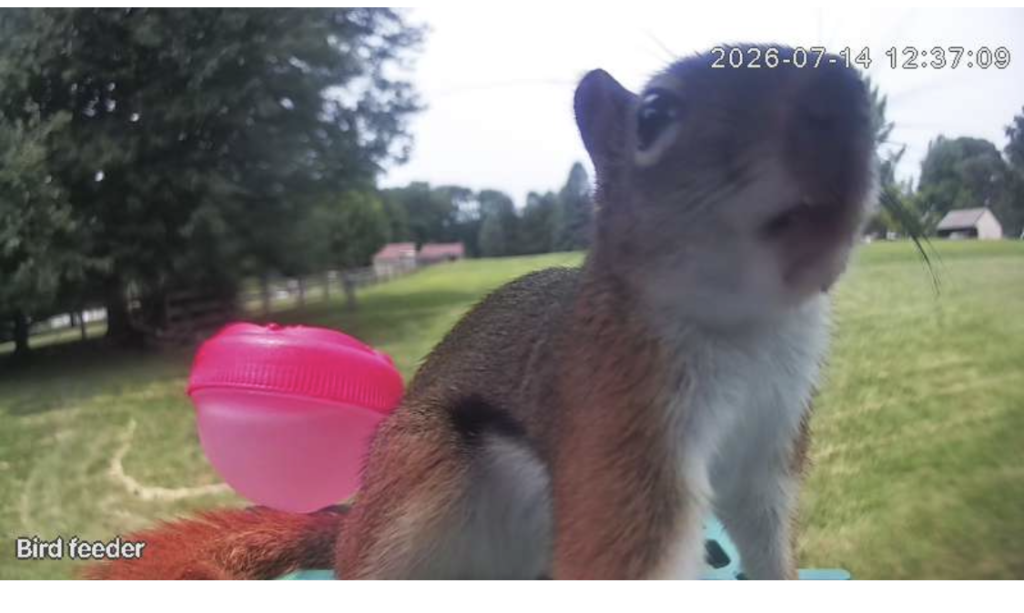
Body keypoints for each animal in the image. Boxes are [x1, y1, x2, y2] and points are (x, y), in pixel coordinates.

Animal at [85, 44, 876, 580]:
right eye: (654, 116)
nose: (844, 97)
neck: (751, 329)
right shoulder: (617, 421)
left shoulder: (771, 444)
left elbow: (766, 539)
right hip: (423, 478)